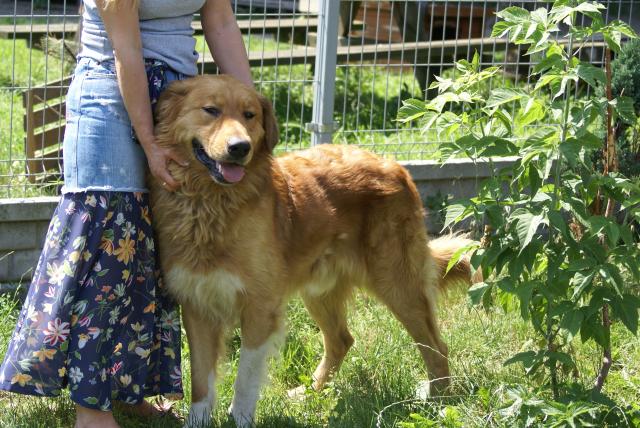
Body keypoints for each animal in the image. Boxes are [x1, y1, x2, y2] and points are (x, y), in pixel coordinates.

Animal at [149, 75, 479, 427]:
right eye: (211, 110)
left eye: (250, 115)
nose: (240, 148)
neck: (210, 205)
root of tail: (393, 165)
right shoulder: (197, 306)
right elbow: (201, 382)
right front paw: (197, 421)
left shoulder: (260, 308)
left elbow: (245, 379)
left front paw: (240, 418)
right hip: (320, 290)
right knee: (342, 340)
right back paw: (311, 392)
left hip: (398, 285)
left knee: (436, 346)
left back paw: (439, 401)